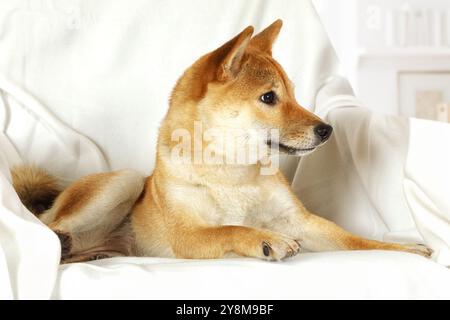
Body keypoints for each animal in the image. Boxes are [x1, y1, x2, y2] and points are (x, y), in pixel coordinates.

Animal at [11, 19, 432, 262]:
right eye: (269, 98)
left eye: (294, 94)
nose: (327, 129)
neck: (235, 173)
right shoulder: (188, 236)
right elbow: (232, 229)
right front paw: (264, 240)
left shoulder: (300, 221)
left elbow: (354, 238)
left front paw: (404, 248)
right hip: (124, 181)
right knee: (48, 226)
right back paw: (59, 240)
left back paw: (90, 255)